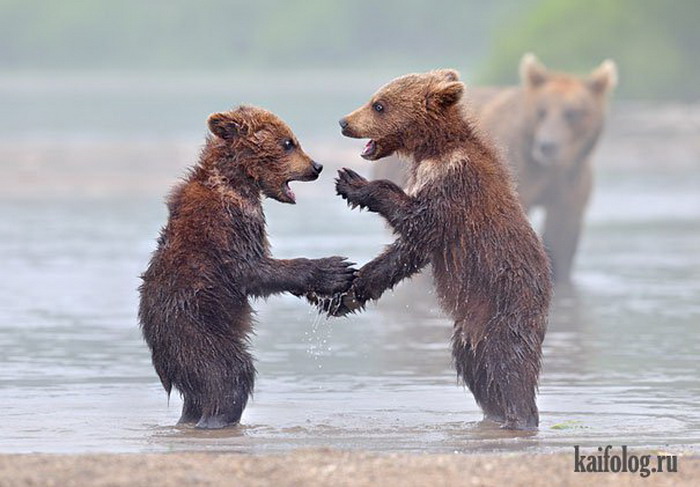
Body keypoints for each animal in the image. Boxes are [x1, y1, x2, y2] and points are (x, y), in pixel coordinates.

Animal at [139, 106, 356, 430]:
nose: (316, 166)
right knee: (228, 374)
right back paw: (218, 418)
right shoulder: (228, 225)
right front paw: (335, 269)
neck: (237, 179)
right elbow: (252, 270)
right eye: (288, 142)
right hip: (196, 327)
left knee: (196, 395)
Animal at [334, 69, 552, 430]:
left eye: (379, 105)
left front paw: (353, 183)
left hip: (507, 306)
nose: (344, 122)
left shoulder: (454, 184)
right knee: (474, 366)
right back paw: (494, 412)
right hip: (470, 329)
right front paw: (349, 292)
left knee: (509, 364)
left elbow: (419, 221)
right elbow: (407, 251)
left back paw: (519, 417)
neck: (434, 149)